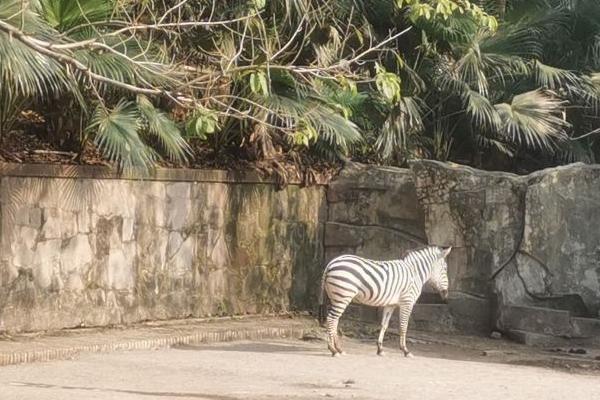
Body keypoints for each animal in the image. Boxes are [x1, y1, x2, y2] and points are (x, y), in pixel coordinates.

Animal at [318, 245, 450, 358]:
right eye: (445, 269)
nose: (446, 293)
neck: (414, 272)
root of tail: (331, 263)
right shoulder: (407, 302)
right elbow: (403, 326)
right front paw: (405, 350)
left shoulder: (390, 305)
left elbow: (384, 325)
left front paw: (380, 349)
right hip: (343, 295)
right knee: (331, 319)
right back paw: (333, 350)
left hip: (336, 297)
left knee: (334, 320)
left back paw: (339, 349)